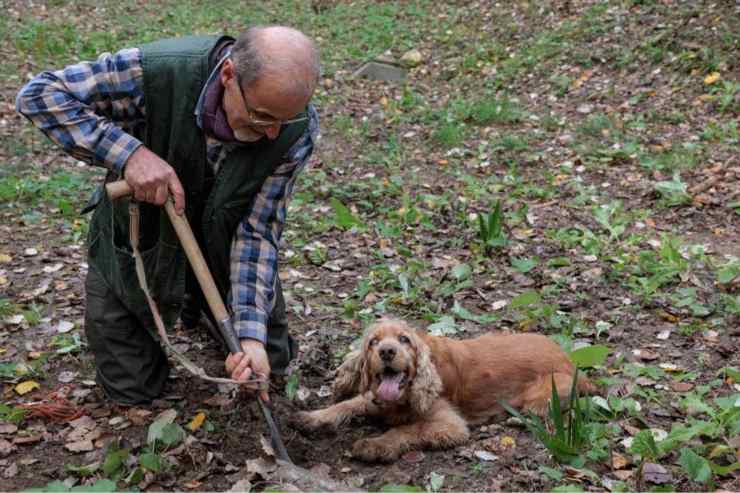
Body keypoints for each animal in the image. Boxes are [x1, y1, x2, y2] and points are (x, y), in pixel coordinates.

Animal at [292, 320, 600, 462]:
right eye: (373, 342)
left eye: (404, 340)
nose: (387, 351)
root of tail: (570, 361)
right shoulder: (378, 399)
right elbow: (349, 403)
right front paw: (314, 417)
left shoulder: (449, 424)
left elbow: (406, 430)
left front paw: (374, 445)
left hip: (545, 393)